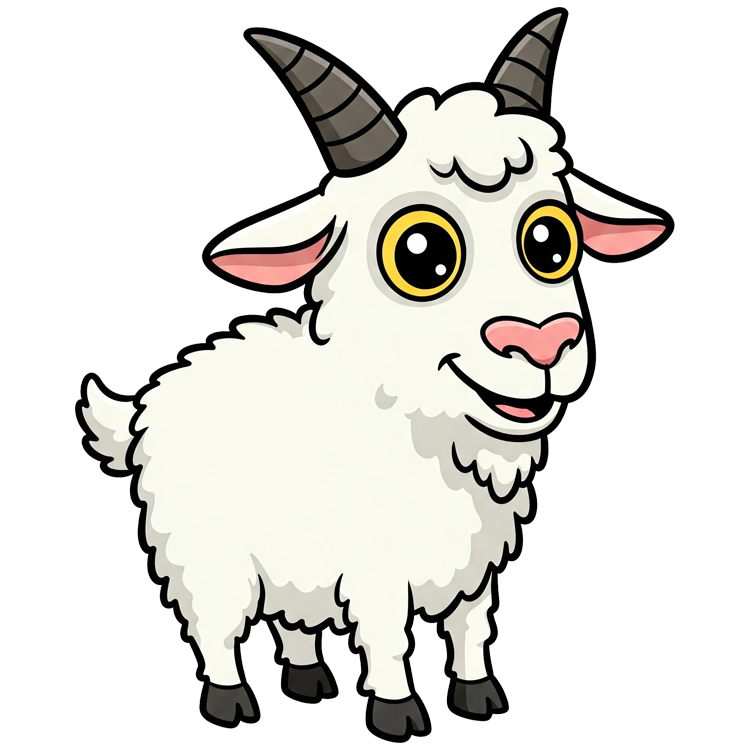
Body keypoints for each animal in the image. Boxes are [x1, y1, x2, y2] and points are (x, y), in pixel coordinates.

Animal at [76, 10, 673, 739]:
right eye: (421, 254)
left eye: (550, 241)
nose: (542, 343)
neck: (418, 428)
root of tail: (154, 396)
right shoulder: (376, 566)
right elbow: (389, 639)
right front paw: (397, 713)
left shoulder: (475, 569)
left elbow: (471, 631)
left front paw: (479, 697)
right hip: (207, 553)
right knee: (215, 628)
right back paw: (230, 701)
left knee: (292, 619)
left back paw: (307, 681)